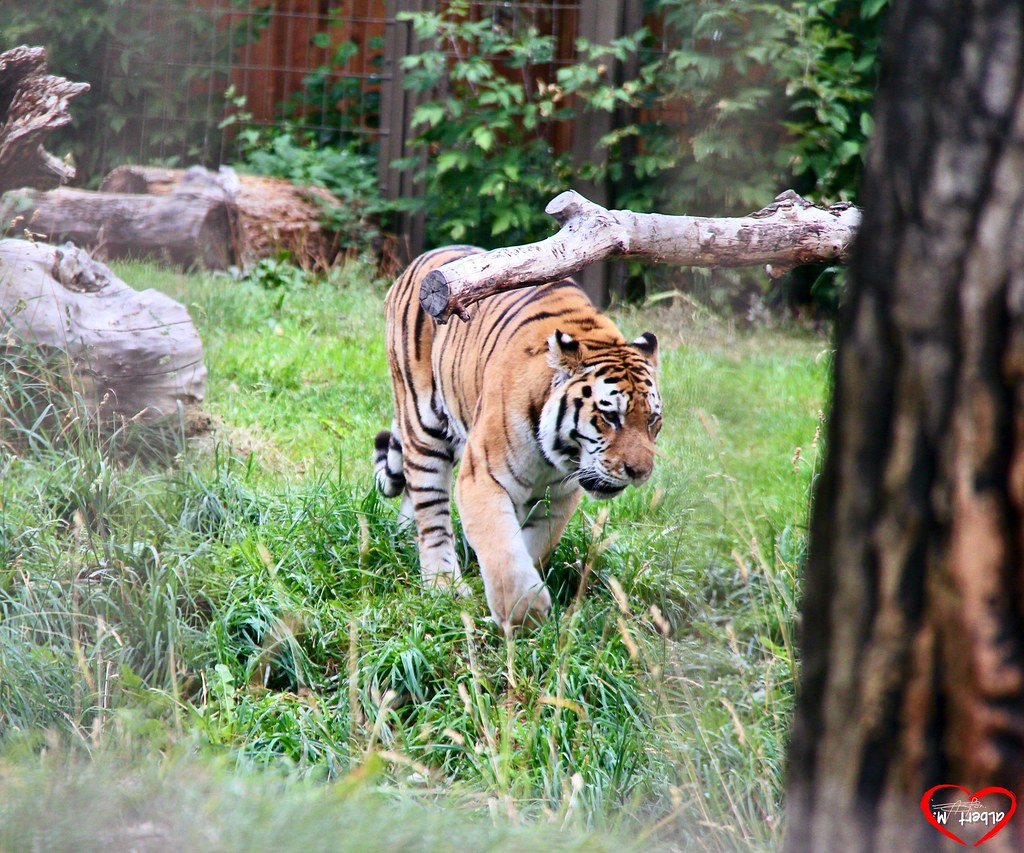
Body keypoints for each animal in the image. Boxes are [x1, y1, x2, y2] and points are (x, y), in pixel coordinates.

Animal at [373, 246, 662, 633]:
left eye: (652, 421)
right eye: (610, 417)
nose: (639, 473)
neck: (555, 455)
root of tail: (421, 259)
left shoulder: (557, 496)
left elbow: (532, 545)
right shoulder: (481, 477)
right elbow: (503, 551)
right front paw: (524, 615)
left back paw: (407, 536)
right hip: (424, 424)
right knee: (430, 511)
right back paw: (443, 584)